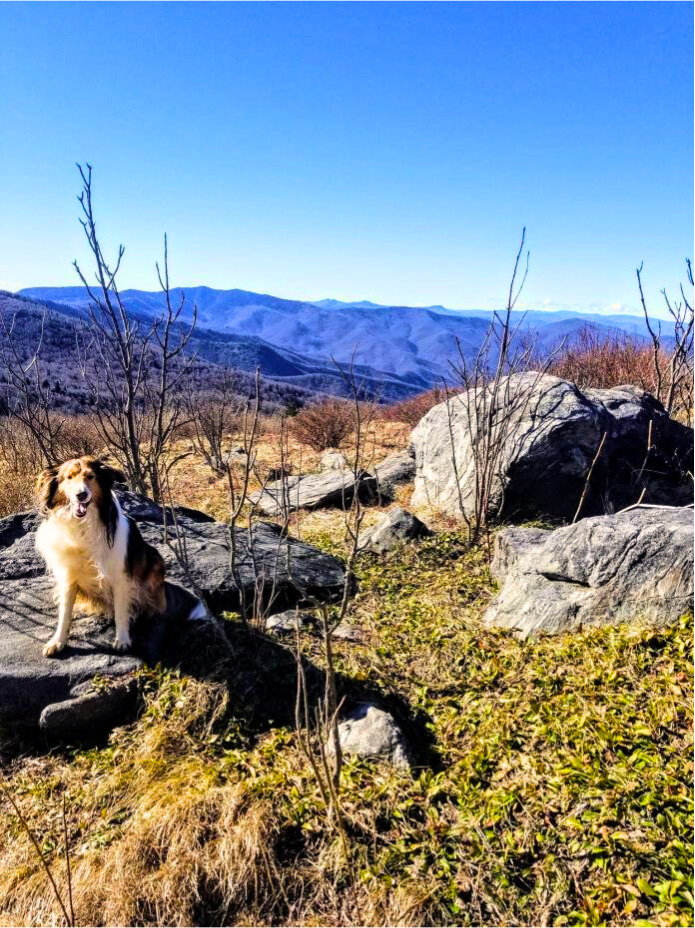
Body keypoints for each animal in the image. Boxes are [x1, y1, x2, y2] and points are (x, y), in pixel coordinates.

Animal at [35, 456, 205, 660]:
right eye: (69, 477)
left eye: (90, 477)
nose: (81, 495)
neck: (84, 524)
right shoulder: (68, 576)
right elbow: (65, 612)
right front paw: (58, 641)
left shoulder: (121, 577)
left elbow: (121, 612)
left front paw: (122, 640)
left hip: (155, 561)